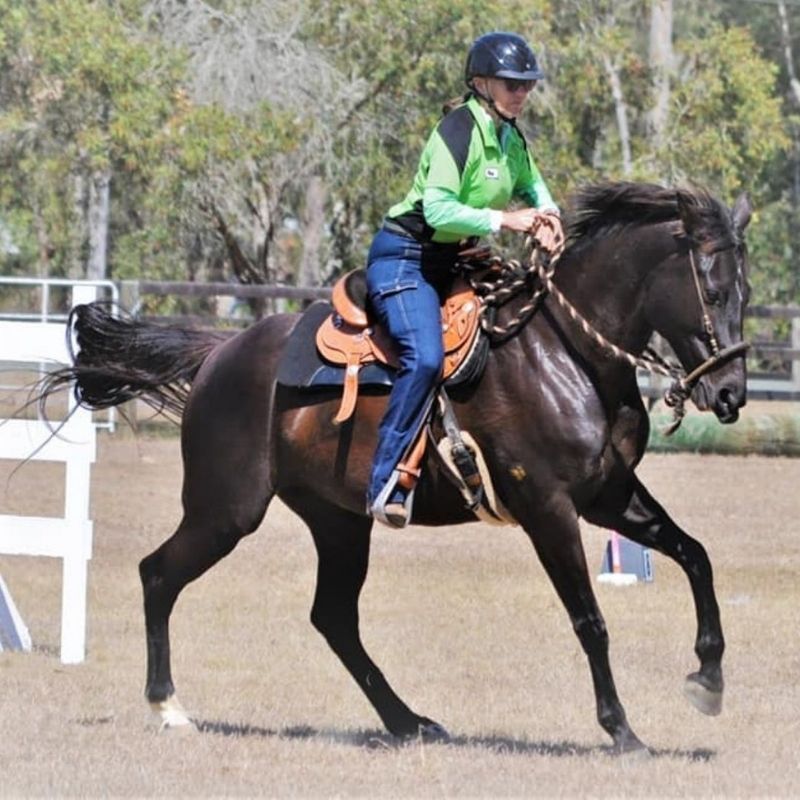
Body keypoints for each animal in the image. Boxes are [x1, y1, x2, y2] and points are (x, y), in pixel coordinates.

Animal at [41, 181, 752, 753]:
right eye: (714, 290)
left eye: (746, 292)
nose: (730, 395)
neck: (566, 353)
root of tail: (220, 352)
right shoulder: (548, 508)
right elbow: (591, 621)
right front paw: (622, 729)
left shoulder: (608, 494)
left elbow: (695, 555)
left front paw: (709, 680)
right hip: (226, 509)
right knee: (158, 574)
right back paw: (168, 706)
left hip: (337, 521)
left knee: (333, 618)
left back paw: (409, 721)